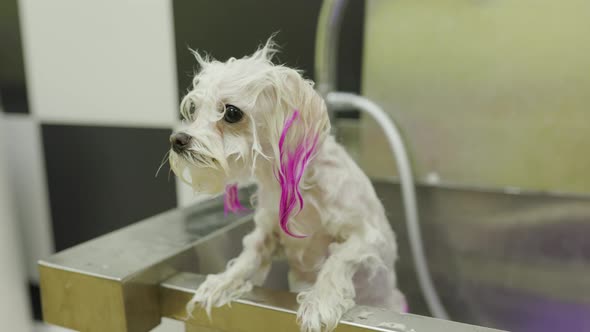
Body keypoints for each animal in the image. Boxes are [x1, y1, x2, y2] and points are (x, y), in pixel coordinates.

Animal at [169, 38, 404, 332]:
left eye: (231, 113)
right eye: (194, 110)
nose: (177, 140)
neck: (298, 187)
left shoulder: (368, 238)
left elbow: (338, 260)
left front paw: (320, 300)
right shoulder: (269, 232)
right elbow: (249, 255)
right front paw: (222, 281)